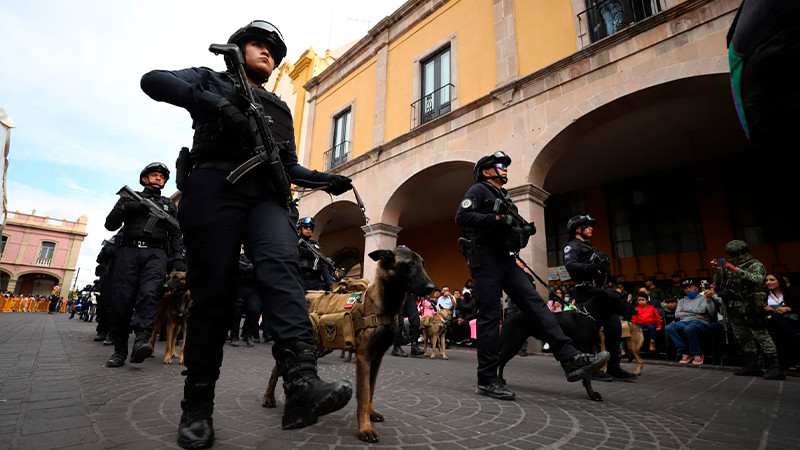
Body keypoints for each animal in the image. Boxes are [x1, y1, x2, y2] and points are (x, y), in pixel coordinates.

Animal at [262, 246, 432, 442]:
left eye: (422, 264)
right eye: (411, 264)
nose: (432, 288)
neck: (383, 305)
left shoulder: (376, 359)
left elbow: (371, 390)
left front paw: (371, 413)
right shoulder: (363, 358)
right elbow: (364, 395)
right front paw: (365, 428)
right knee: (275, 370)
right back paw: (268, 398)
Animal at [500, 290, 636, 402]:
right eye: (619, 298)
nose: (635, 310)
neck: (588, 314)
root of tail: (508, 317)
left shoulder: (589, 348)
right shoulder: (584, 346)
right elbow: (587, 377)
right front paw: (592, 394)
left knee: (501, 362)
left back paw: (501, 380)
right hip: (513, 344)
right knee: (499, 361)